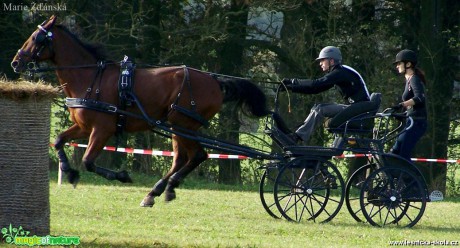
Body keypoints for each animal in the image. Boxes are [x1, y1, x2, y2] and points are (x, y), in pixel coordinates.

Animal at [10, 15, 272, 205]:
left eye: (36, 38)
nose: (16, 62)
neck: (90, 77)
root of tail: (215, 81)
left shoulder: (102, 129)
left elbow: (88, 161)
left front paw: (121, 176)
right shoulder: (84, 127)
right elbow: (58, 141)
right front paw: (69, 172)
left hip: (183, 124)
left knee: (198, 155)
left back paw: (165, 189)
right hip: (178, 126)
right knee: (181, 158)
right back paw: (157, 192)